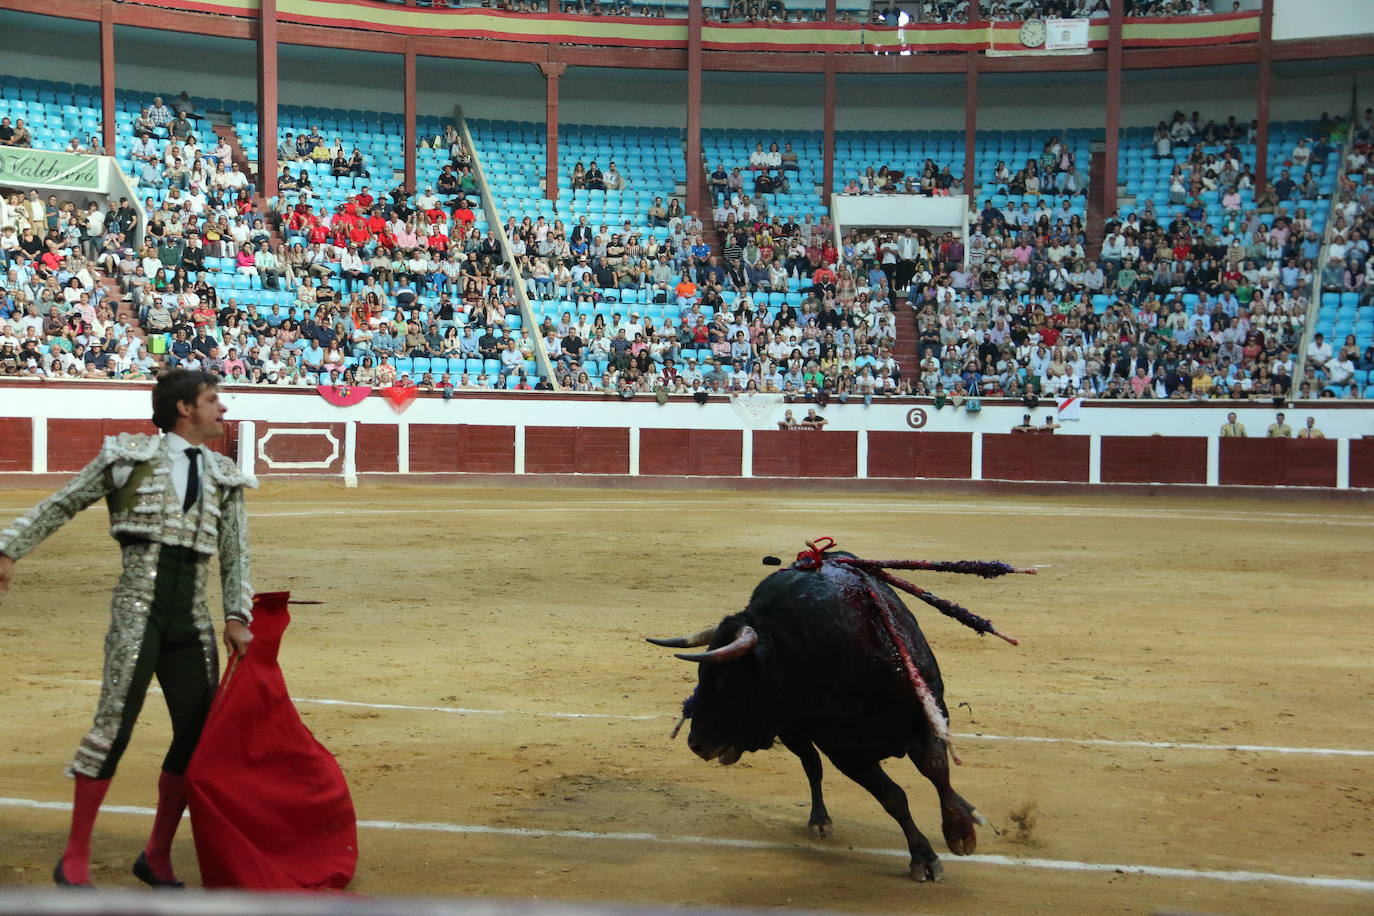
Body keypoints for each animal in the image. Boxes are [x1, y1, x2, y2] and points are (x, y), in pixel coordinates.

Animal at [645, 552, 983, 878]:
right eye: (701, 675)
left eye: (727, 679)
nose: (697, 744)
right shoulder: (843, 751)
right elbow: (892, 797)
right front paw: (924, 857)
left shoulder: (928, 714)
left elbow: (937, 769)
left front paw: (960, 830)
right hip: (793, 731)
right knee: (812, 765)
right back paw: (820, 820)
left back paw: (969, 809)